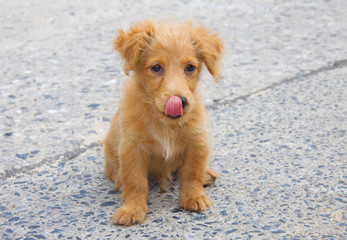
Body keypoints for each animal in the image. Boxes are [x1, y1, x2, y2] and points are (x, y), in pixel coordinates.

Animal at [104, 20, 223, 225]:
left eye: (190, 67)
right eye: (156, 68)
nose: (180, 101)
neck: (164, 122)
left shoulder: (197, 140)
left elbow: (192, 173)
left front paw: (193, 196)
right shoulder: (132, 148)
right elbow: (135, 182)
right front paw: (132, 209)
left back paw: (206, 175)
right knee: (114, 172)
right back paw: (118, 180)